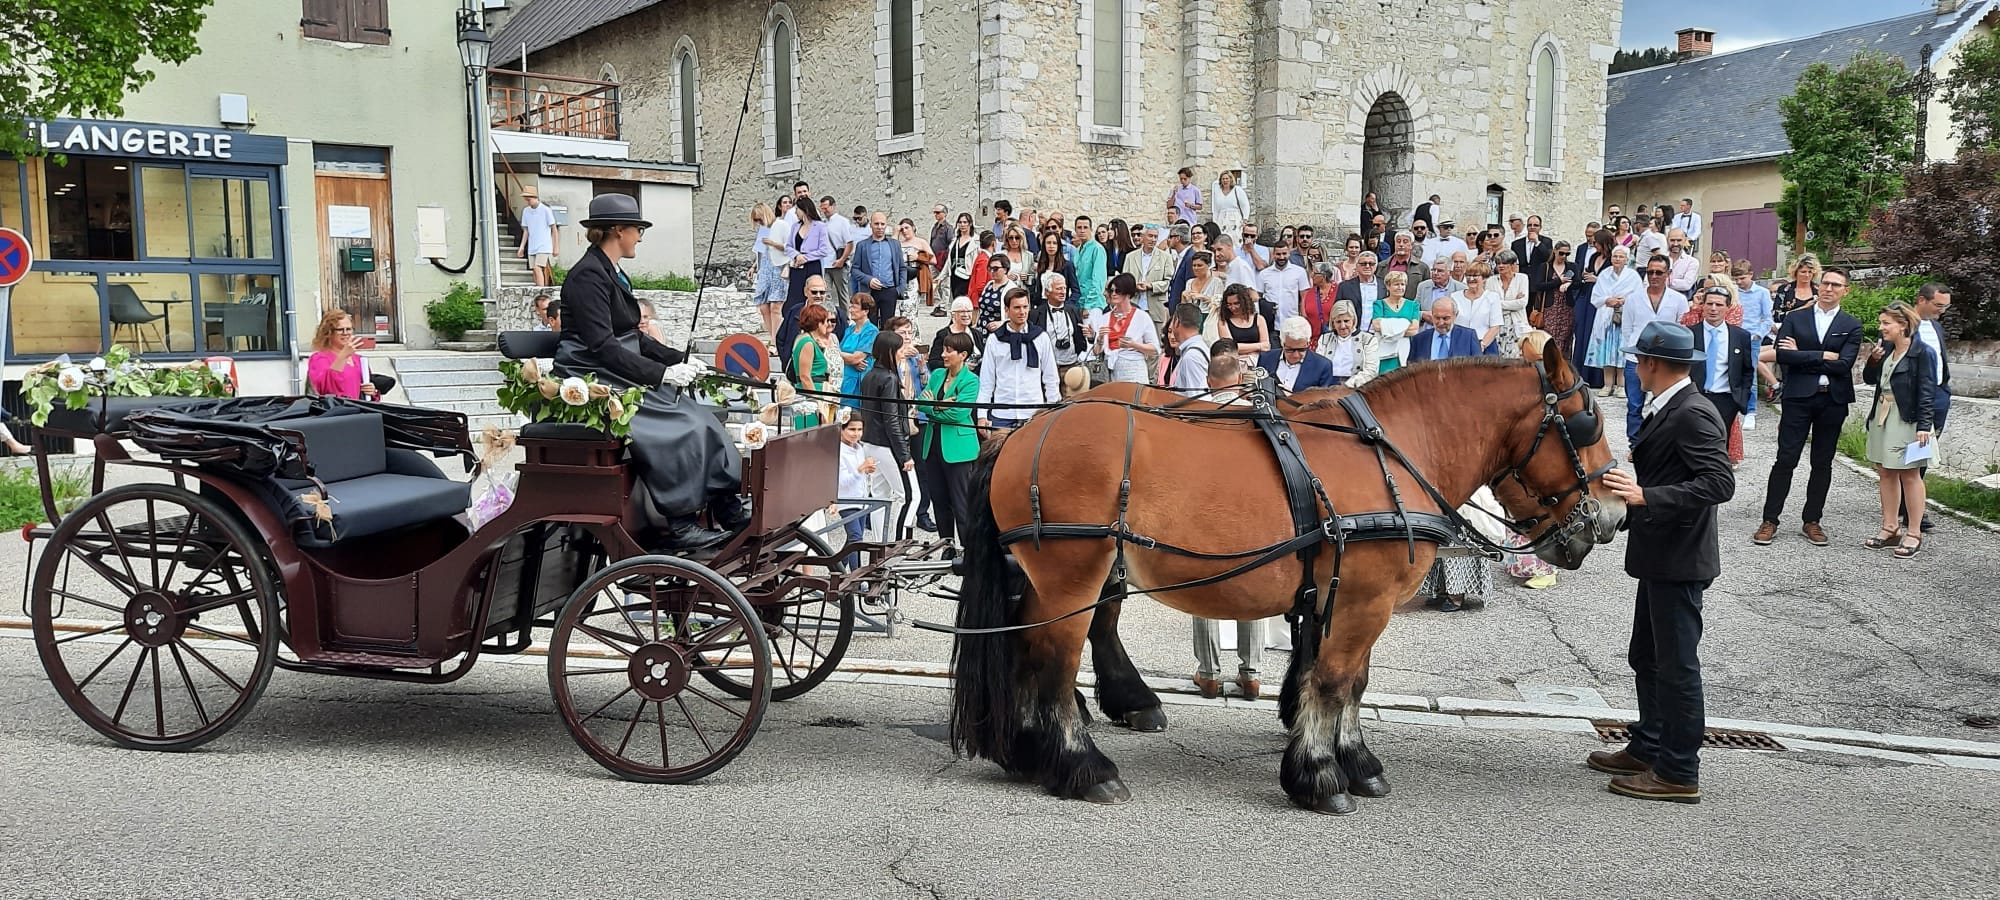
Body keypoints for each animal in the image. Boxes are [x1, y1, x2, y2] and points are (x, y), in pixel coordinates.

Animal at [952, 334, 1624, 812]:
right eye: (1586, 424)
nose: (1612, 516)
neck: (1392, 450)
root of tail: (1026, 431)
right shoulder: (1361, 599)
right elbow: (1331, 681)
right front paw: (1320, 777)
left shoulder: (1350, 600)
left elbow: (1353, 682)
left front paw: (1356, 761)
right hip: (1074, 574)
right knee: (1054, 662)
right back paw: (1082, 765)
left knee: (1036, 648)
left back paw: (1030, 749)